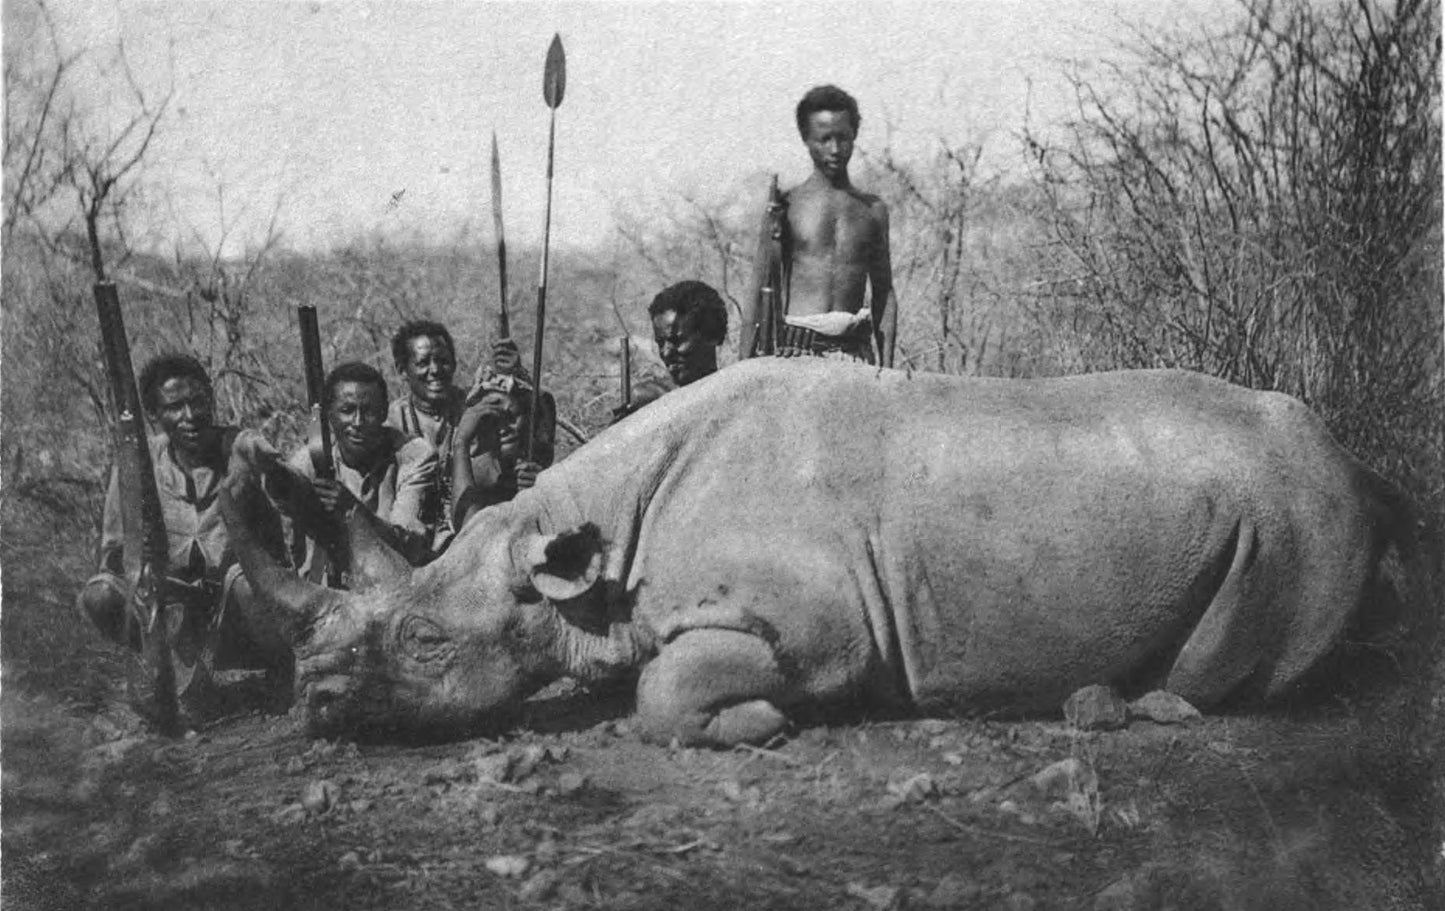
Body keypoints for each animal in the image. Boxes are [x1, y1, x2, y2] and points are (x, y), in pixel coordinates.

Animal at [220, 359, 1411, 745]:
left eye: (425, 643)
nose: (312, 705)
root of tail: (1348, 459)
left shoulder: (820, 631)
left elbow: (662, 693)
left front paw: (756, 724)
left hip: (1296, 514)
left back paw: (1134, 707)